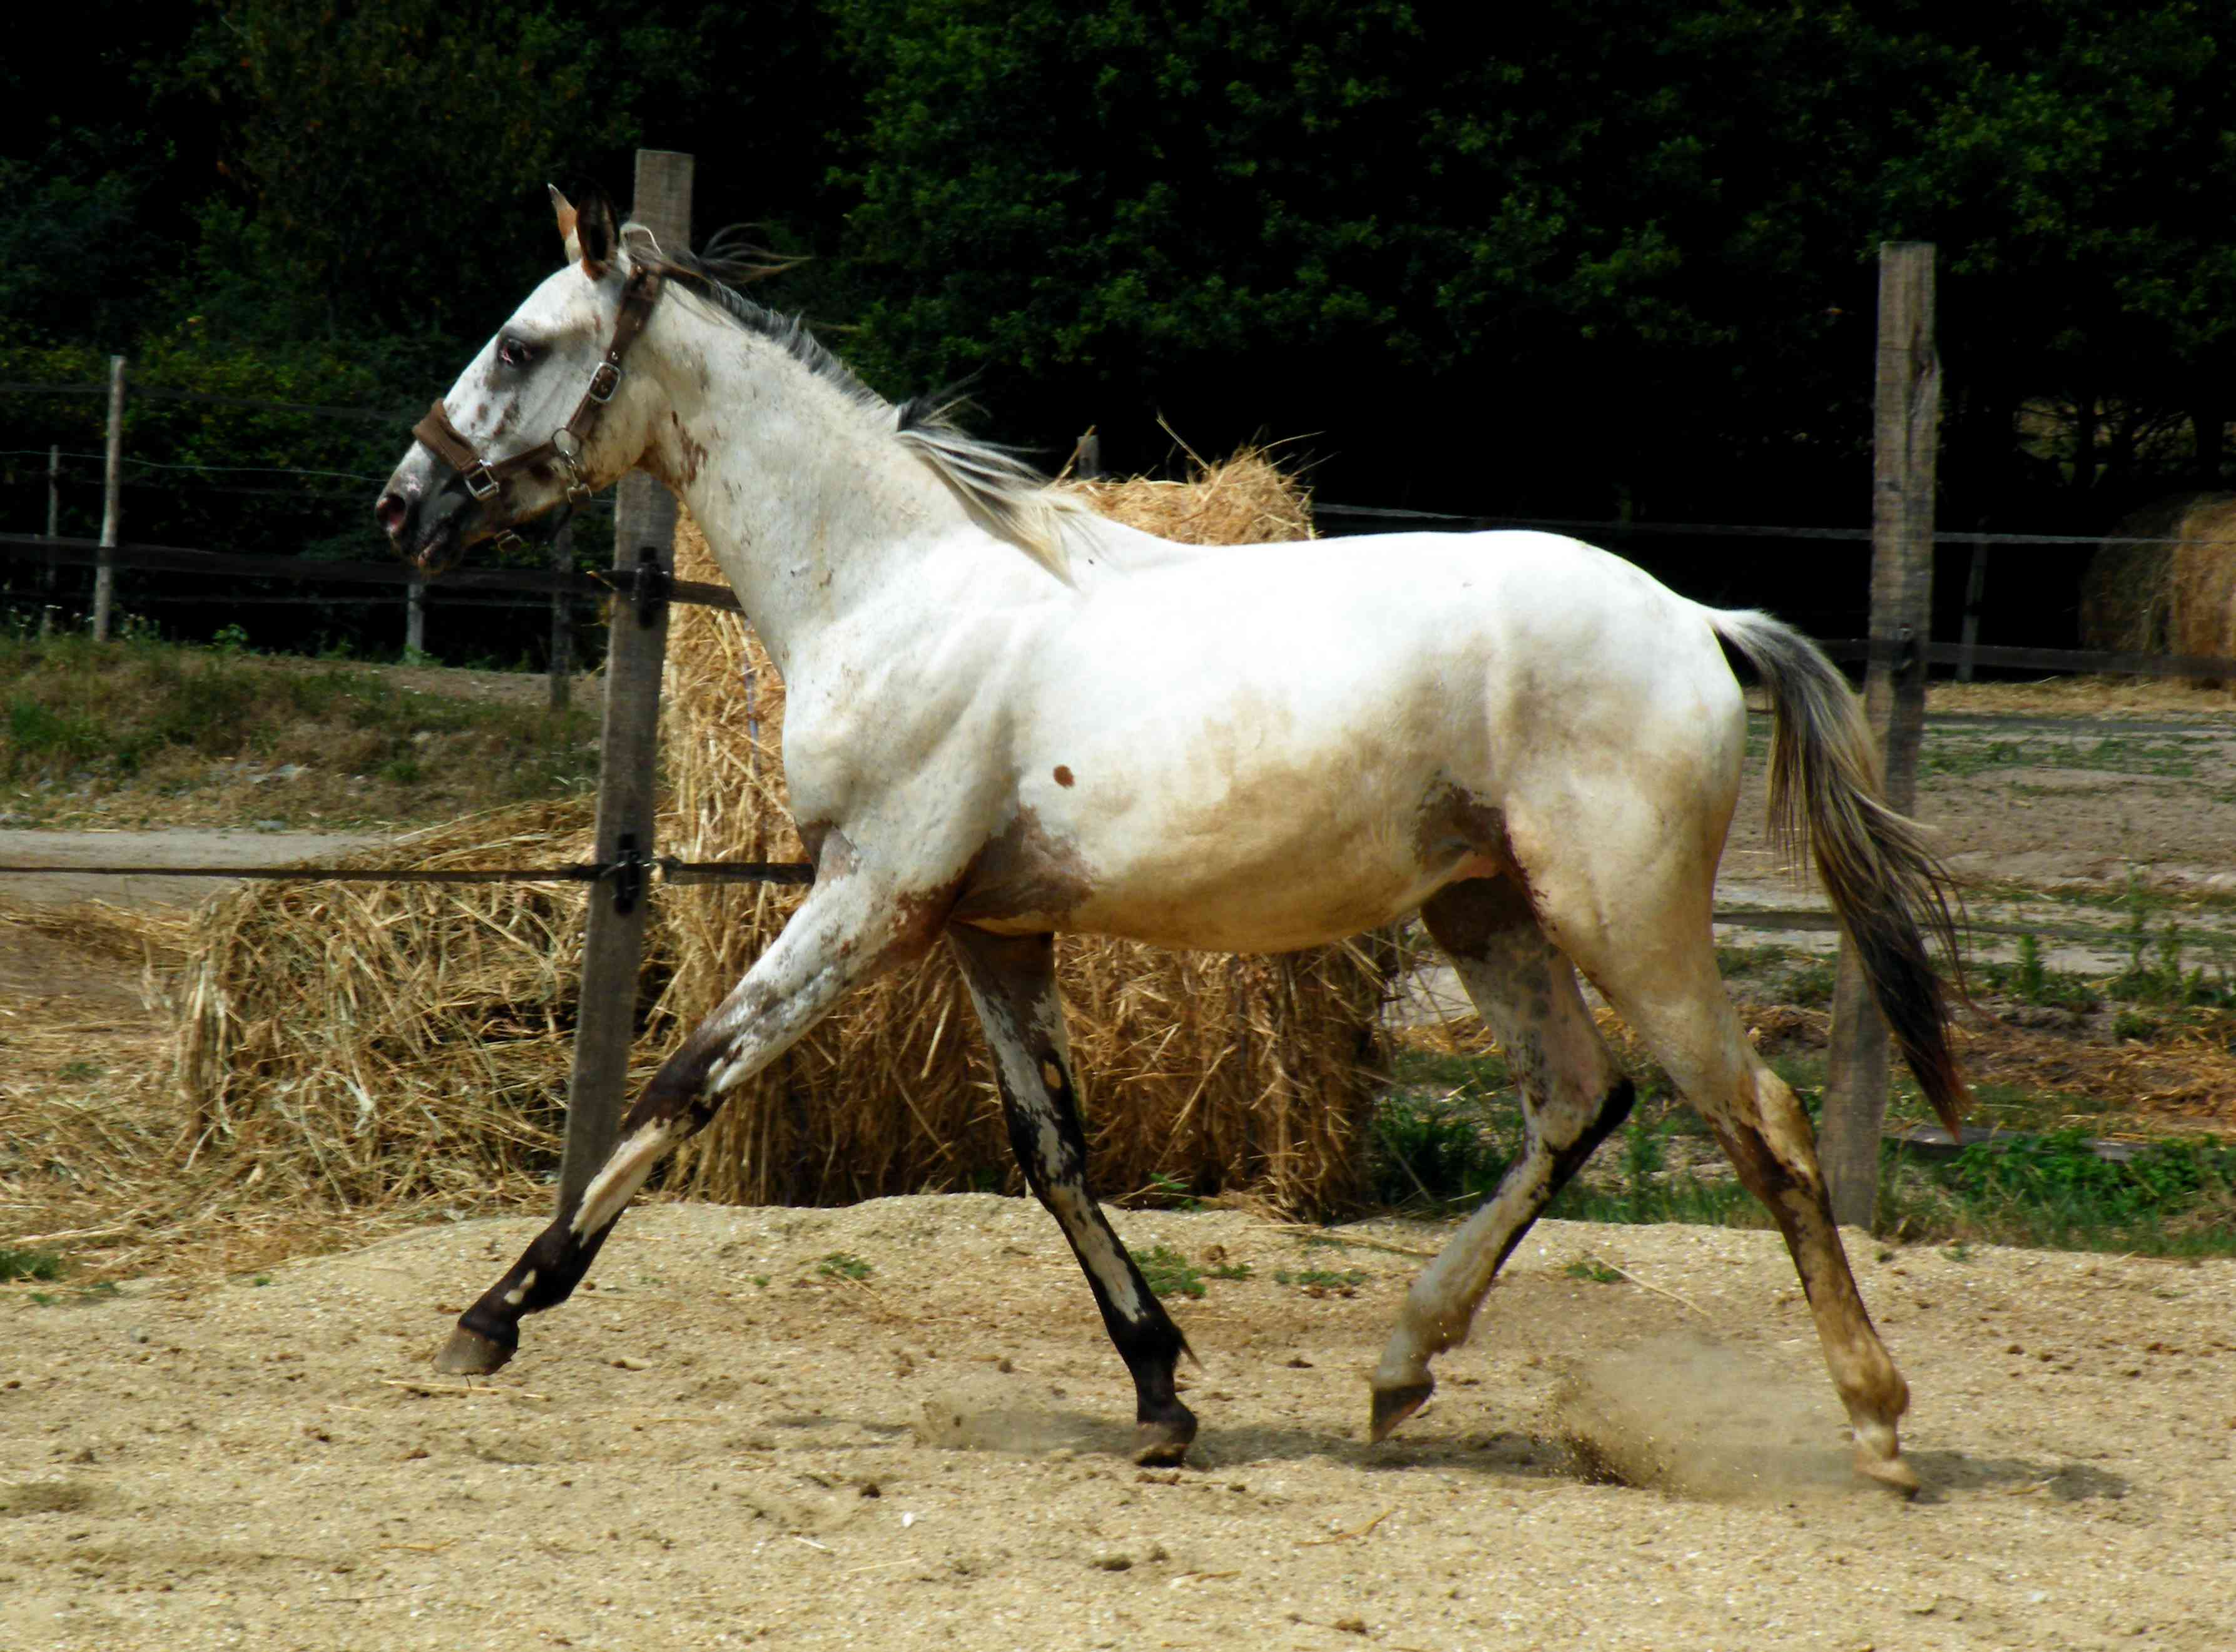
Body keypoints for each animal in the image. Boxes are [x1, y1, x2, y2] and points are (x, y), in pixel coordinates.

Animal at [380, 188, 1958, 1493]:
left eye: (520, 343)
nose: (407, 504)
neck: (894, 589)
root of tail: (1697, 621)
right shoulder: (988, 926)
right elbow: (1053, 1153)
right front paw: (1159, 1394)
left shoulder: (870, 895)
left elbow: (684, 1082)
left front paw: (491, 1315)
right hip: (1485, 908)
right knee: (1575, 1102)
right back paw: (1397, 1373)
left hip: (1623, 913)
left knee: (1760, 1123)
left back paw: (1877, 1425)